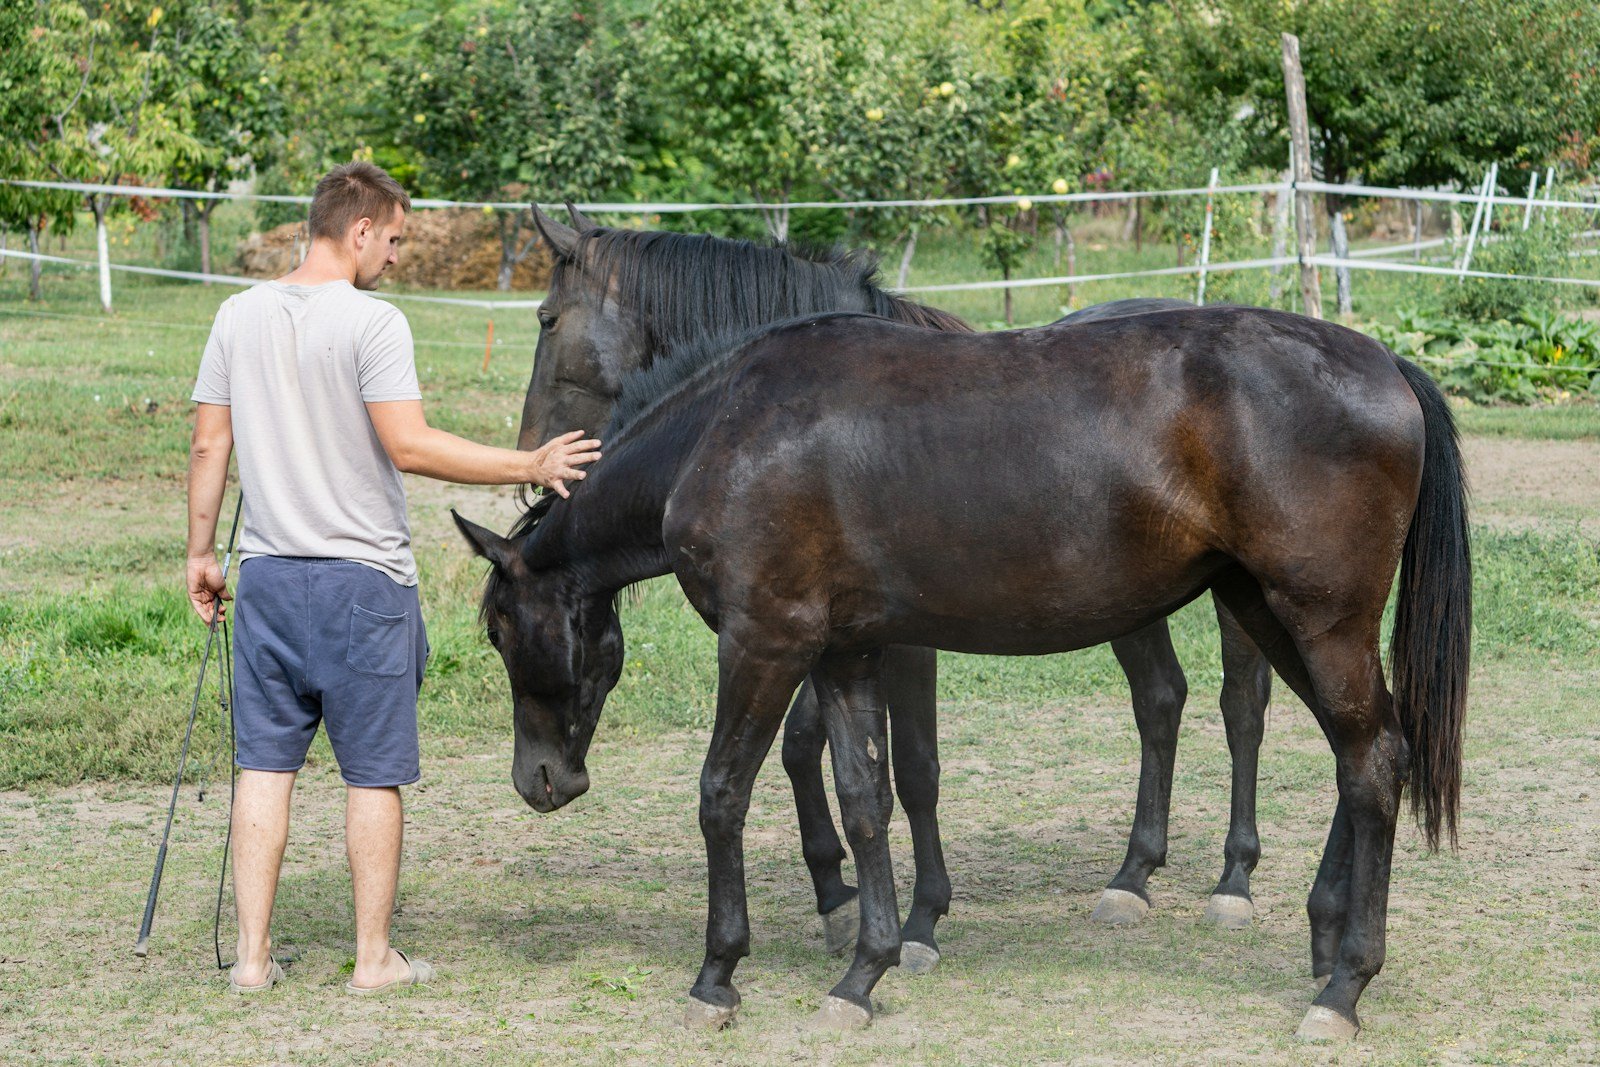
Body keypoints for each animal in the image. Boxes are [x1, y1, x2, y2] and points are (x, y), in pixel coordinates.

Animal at [459, 306, 1470, 1040]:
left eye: (501, 629)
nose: (538, 780)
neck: (732, 430)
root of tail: (1384, 363)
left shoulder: (766, 643)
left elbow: (722, 794)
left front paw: (717, 974)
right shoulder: (847, 652)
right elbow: (866, 797)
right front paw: (865, 969)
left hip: (1318, 620)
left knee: (1371, 759)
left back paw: (1343, 986)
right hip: (1270, 609)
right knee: (1366, 752)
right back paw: (1324, 934)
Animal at [515, 207, 1273, 954]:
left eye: (547, 318)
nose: (534, 466)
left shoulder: (897, 635)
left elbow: (908, 766)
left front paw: (912, 918)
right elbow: (811, 749)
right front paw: (839, 891)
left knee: (1241, 706)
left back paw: (1233, 880)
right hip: (1132, 606)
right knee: (1160, 699)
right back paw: (1133, 873)